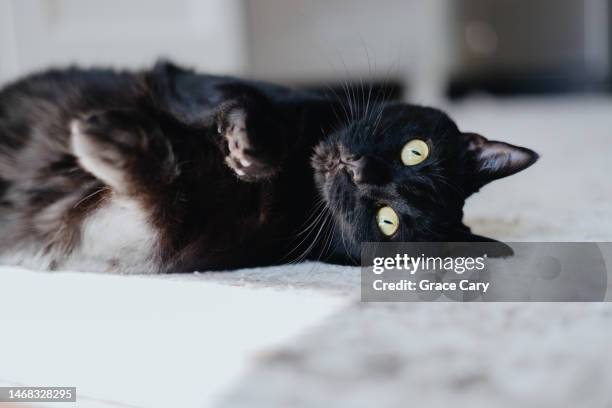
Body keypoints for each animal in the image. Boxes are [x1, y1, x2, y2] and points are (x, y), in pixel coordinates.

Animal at [0, 60, 536, 272]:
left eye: (388, 221)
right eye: (415, 151)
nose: (358, 168)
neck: (297, 182)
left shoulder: (162, 244)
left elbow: (151, 197)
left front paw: (106, 143)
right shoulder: (197, 83)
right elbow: (239, 99)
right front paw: (249, 148)